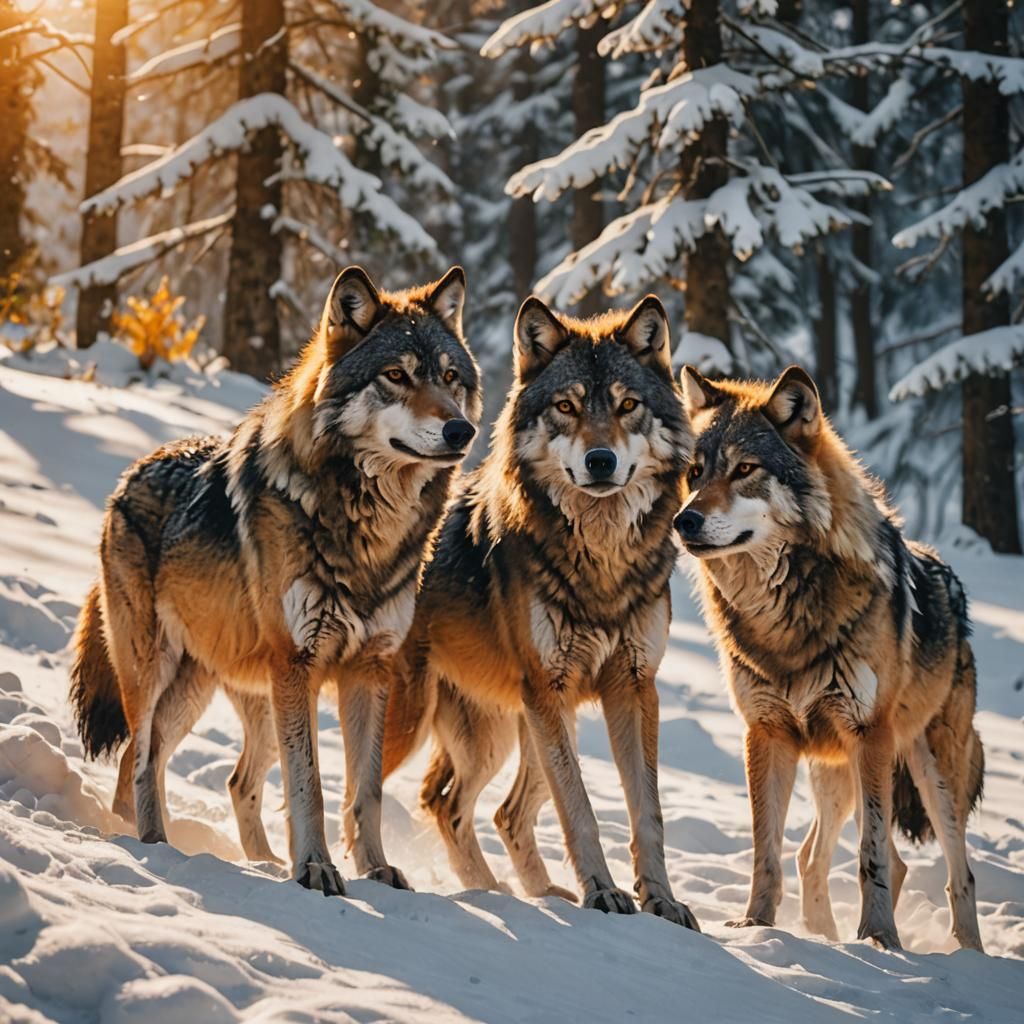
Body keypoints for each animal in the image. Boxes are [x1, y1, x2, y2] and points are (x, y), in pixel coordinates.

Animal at [70, 265, 482, 895]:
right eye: (396, 375)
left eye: (450, 377)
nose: (462, 430)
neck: (369, 528)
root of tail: (130, 473)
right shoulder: (298, 665)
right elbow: (309, 783)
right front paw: (315, 868)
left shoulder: (371, 669)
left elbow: (365, 790)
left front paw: (376, 869)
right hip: (155, 669)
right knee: (141, 757)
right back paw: (154, 845)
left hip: (220, 689)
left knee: (205, 770)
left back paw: (249, 859)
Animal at [381, 294, 700, 927]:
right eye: (566, 406)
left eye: (627, 405)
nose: (600, 460)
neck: (601, 561)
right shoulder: (549, 687)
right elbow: (578, 806)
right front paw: (603, 894)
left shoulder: (633, 687)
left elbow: (646, 812)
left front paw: (661, 901)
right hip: (424, 715)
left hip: (502, 731)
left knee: (464, 806)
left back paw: (504, 893)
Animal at [675, 364, 984, 951]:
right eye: (695, 473)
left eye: (744, 469)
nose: (683, 521)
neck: (783, 615)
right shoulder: (767, 733)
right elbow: (767, 850)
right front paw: (756, 927)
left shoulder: (869, 733)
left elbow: (870, 856)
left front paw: (880, 937)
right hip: (834, 772)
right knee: (815, 856)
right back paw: (823, 932)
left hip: (928, 771)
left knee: (957, 871)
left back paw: (968, 954)